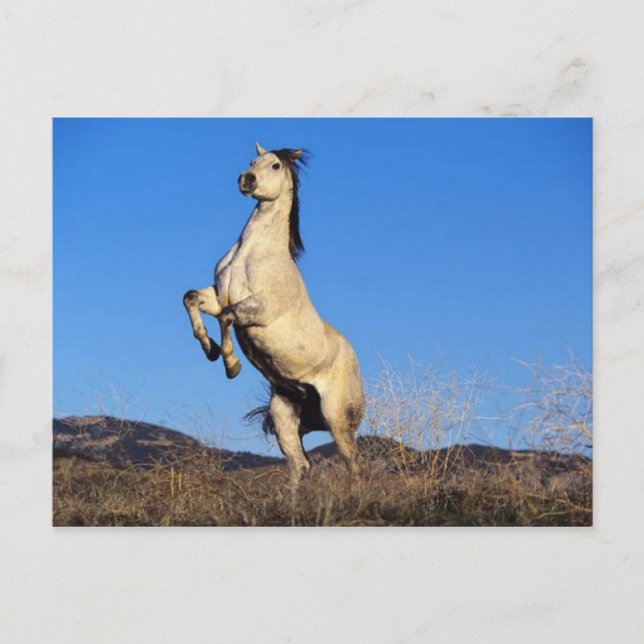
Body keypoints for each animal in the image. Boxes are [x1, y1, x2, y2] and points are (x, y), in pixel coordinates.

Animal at [183, 142, 365, 483]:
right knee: (300, 465)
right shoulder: (217, 296)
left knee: (354, 466)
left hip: (338, 420)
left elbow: (227, 317)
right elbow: (191, 299)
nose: (247, 179)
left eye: (276, 165)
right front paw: (209, 349)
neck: (251, 254)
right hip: (284, 417)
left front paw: (231, 365)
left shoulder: (259, 309)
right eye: (253, 160)